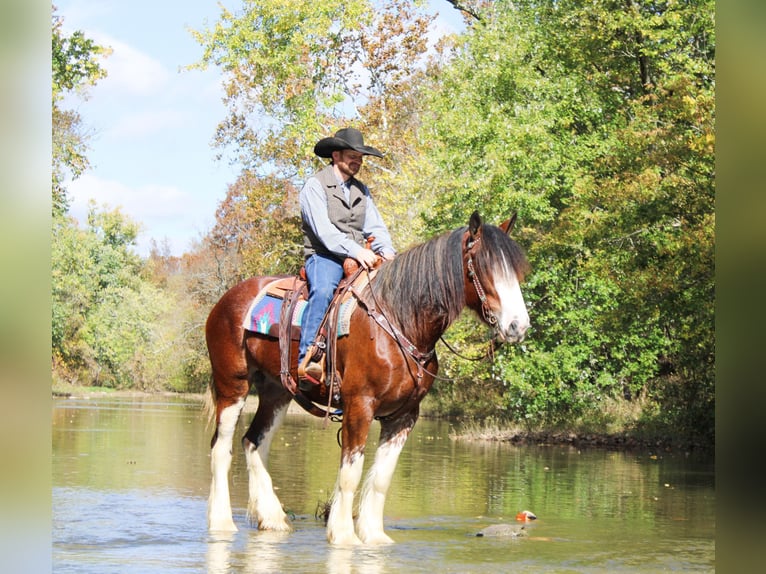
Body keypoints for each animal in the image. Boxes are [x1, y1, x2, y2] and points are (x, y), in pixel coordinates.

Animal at [206, 210, 536, 544]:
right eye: (483, 266)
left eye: (517, 272)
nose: (518, 326)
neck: (398, 320)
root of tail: (228, 298)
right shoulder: (359, 406)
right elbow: (350, 474)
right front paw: (343, 535)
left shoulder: (403, 416)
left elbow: (381, 479)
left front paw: (374, 536)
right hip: (233, 385)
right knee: (222, 449)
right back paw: (222, 522)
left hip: (277, 392)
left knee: (254, 442)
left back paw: (273, 519)